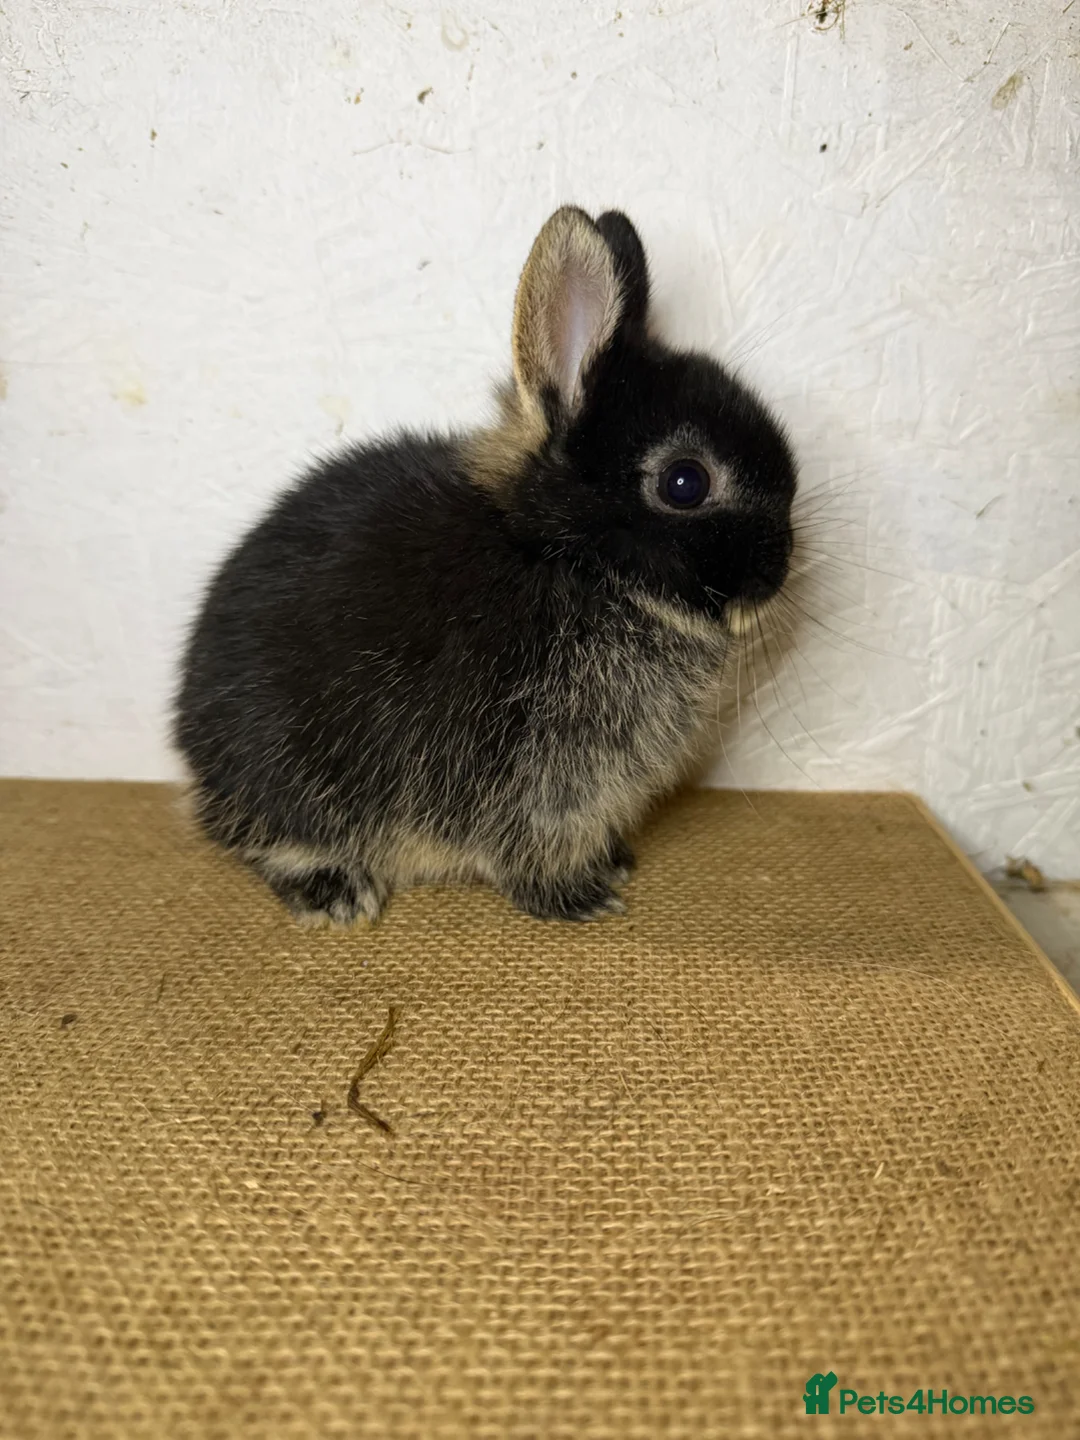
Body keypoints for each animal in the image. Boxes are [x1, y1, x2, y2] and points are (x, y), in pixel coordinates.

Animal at [174, 206, 797, 926]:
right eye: (685, 483)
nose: (779, 572)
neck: (565, 557)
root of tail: (191, 746)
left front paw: (612, 864)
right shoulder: (537, 765)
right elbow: (528, 839)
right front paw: (580, 897)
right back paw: (337, 893)